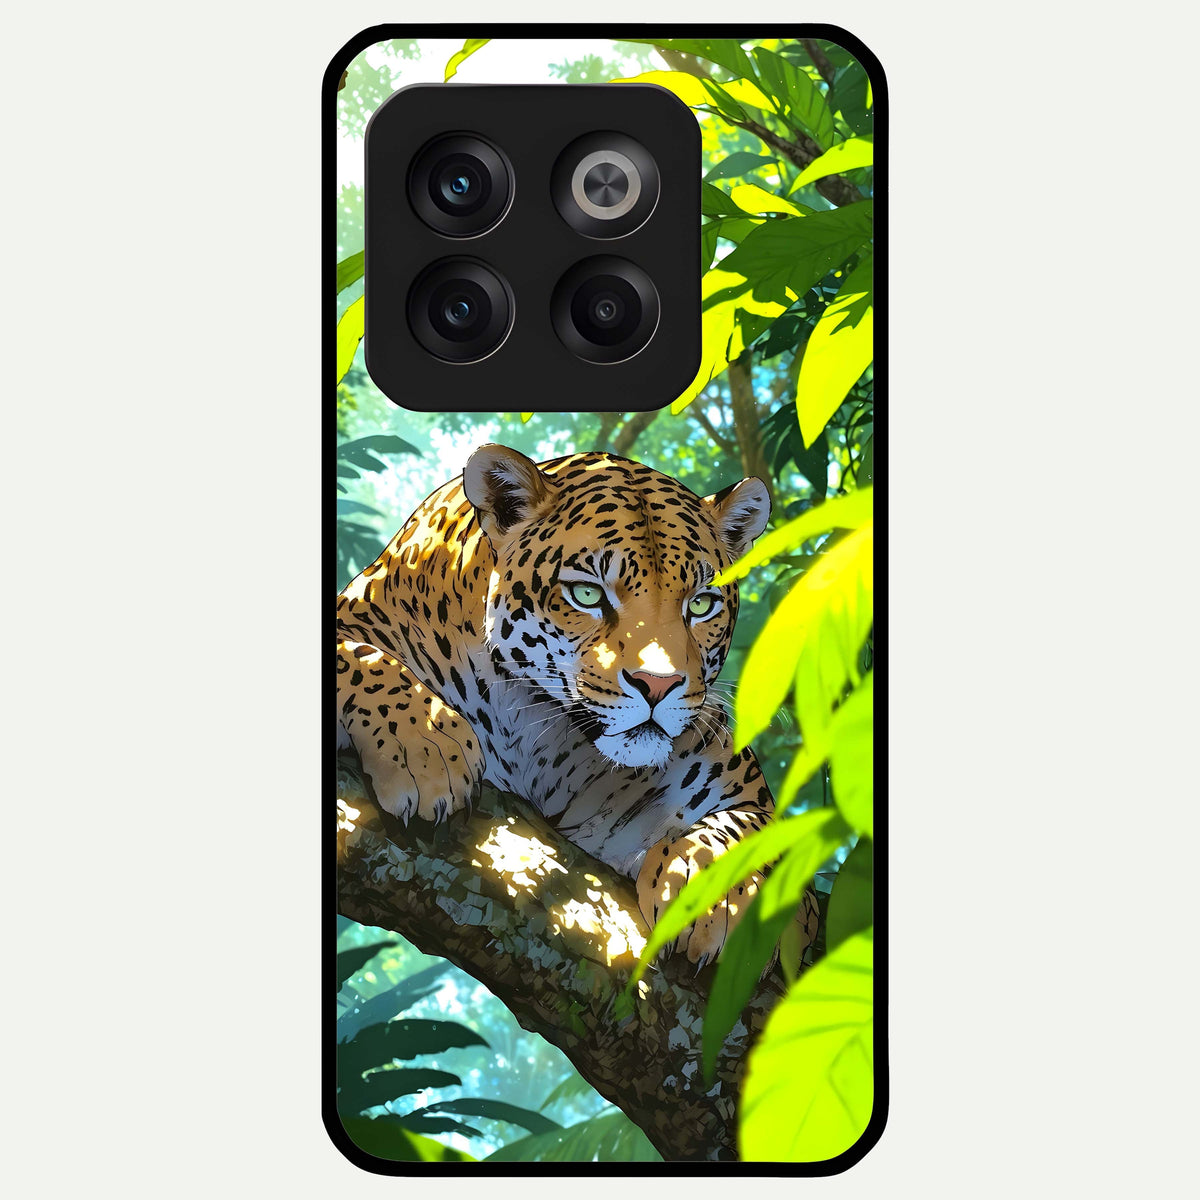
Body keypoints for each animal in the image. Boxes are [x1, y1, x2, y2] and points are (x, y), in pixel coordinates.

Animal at [336, 443, 819, 967]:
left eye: (700, 604)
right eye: (587, 594)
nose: (658, 684)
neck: (535, 732)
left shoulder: (738, 784)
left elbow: (760, 828)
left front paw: (716, 892)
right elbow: (357, 656)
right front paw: (426, 747)